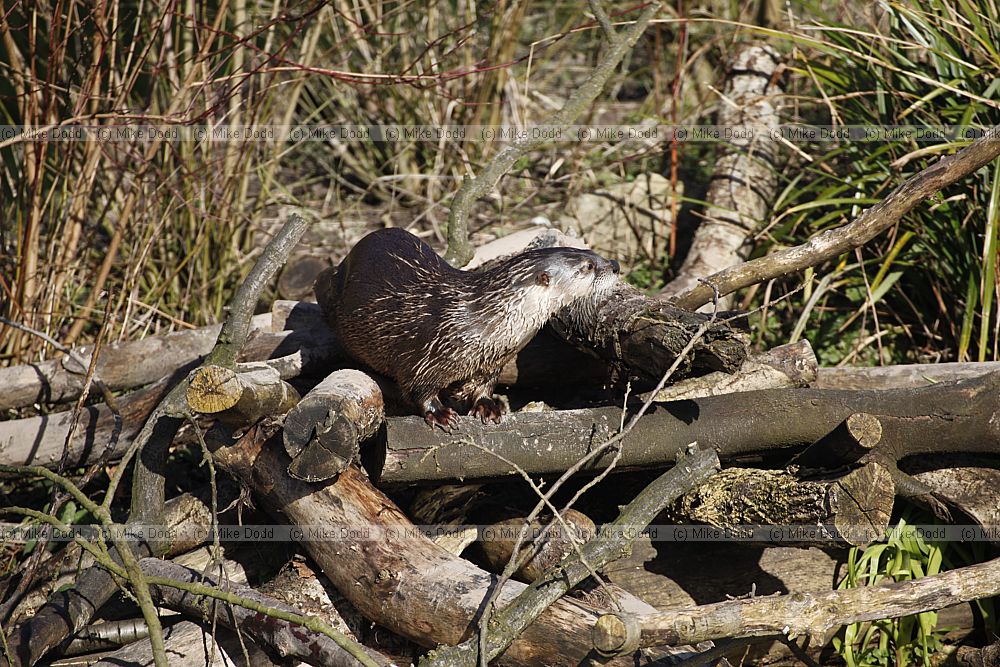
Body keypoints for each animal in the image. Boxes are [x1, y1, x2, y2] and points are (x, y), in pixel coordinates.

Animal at [320, 228, 619, 426]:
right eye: (588, 266)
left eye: (591, 251)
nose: (615, 264)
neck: (482, 323)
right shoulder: (423, 357)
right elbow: (418, 388)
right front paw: (439, 412)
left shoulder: (493, 362)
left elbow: (483, 386)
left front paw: (488, 406)